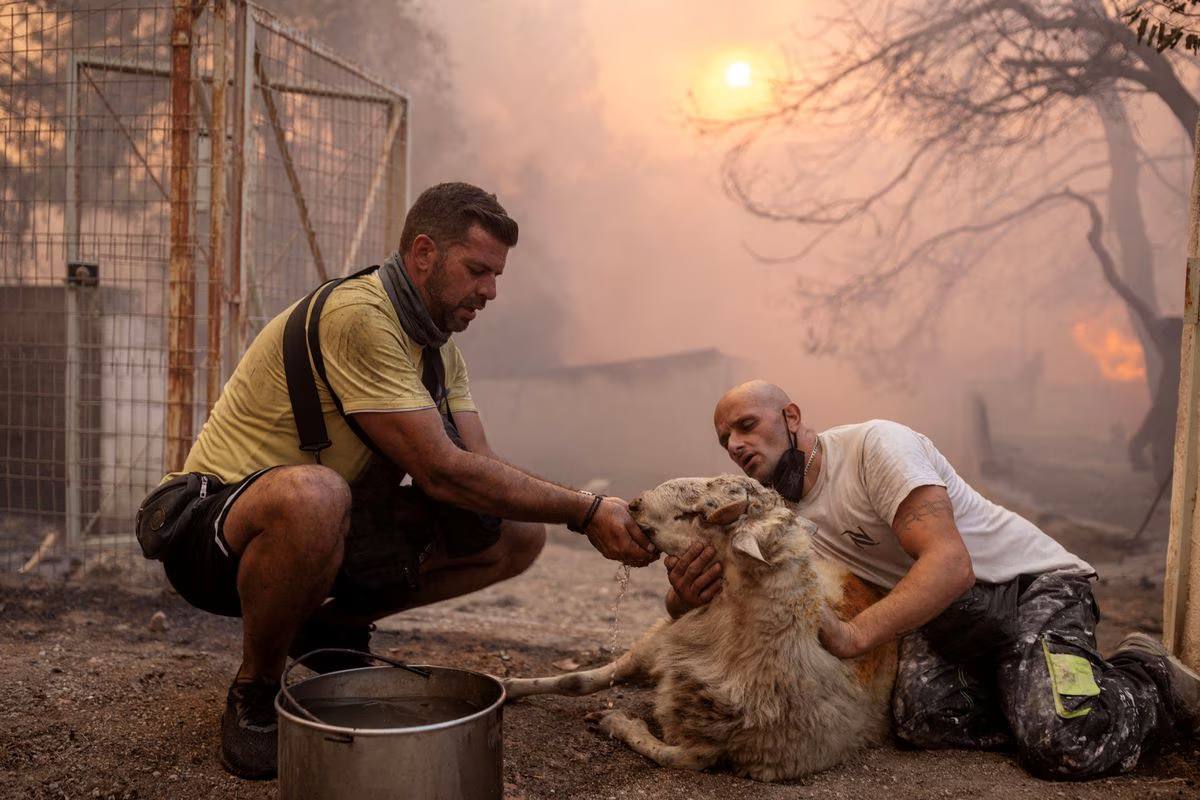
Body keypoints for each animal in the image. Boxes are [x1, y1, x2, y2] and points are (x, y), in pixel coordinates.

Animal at [501, 474, 897, 782]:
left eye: (700, 514)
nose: (634, 504)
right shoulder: (657, 645)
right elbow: (577, 680)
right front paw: (510, 687)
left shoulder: (716, 750)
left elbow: (674, 757)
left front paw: (617, 721)